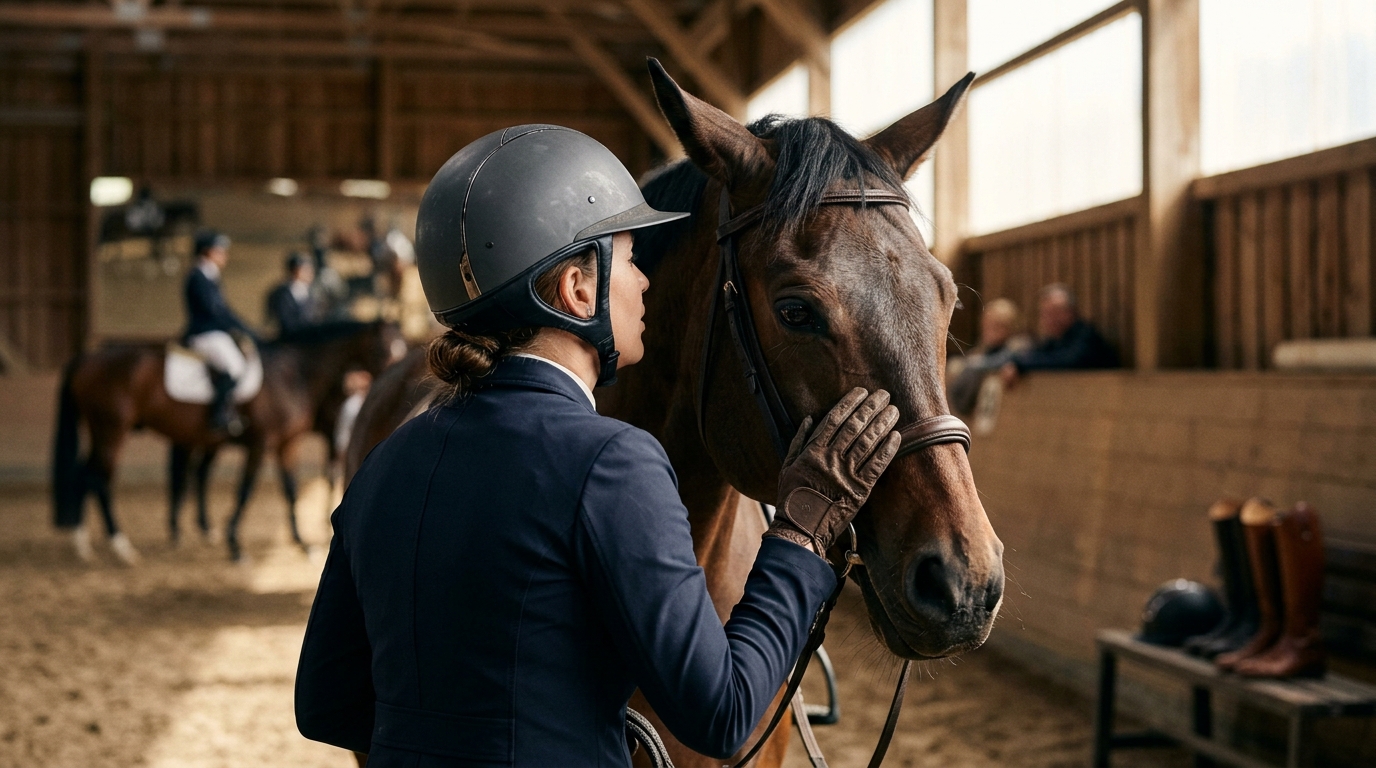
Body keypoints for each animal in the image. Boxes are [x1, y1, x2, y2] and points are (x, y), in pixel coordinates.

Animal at [52, 320, 405, 563]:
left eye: (401, 347)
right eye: (381, 349)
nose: (391, 381)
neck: (295, 373)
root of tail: (87, 358)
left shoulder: (286, 443)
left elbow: (291, 490)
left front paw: (303, 543)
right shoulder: (261, 443)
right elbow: (245, 490)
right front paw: (235, 545)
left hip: (101, 430)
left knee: (83, 475)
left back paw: (82, 544)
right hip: (112, 430)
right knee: (98, 479)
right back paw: (120, 546)